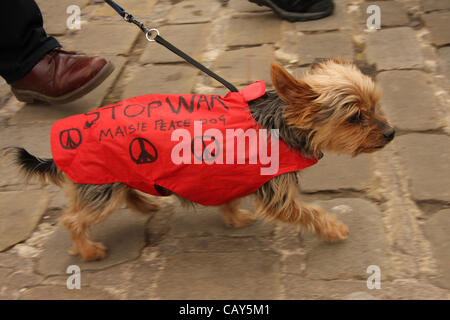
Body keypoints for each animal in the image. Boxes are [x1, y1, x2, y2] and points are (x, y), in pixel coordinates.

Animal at [6, 58, 394, 262]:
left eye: (375, 106)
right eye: (355, 117)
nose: (391, 133)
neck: (280, 124)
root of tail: (66, 139)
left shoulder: (227, 176)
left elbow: (228, 199)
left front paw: (234, 217)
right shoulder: (275, 192)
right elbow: (307, 212)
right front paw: (333, 229)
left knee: (123, 193)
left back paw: (146, 205)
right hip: (101, 187)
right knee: (73, 219)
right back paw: (88, 250)